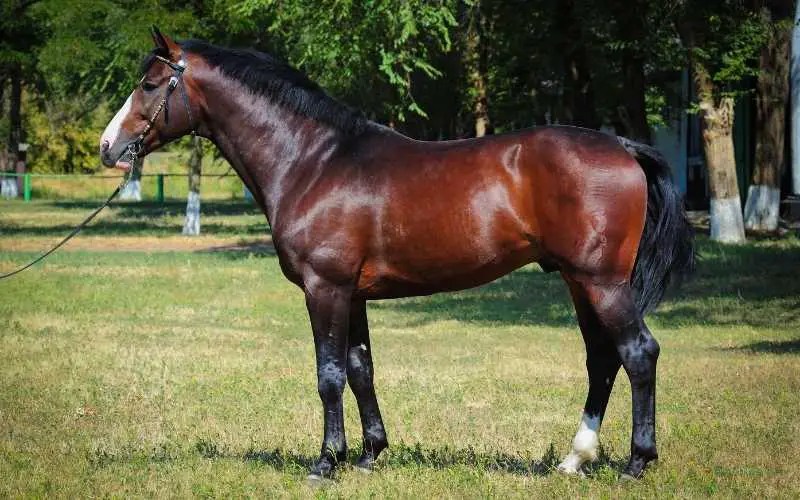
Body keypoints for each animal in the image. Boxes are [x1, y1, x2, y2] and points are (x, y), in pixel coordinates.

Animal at [99, 28, 694, 481]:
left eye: (149, 84)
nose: (109, 148)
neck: (314, 161)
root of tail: (622, 147)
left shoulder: (325, 289)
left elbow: (329, 374)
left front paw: (325, 463)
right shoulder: (352, 294)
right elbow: (360, 369)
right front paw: (368, 456)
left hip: (602, 282)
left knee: (638, 353)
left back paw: (636, 464)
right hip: (578, 281)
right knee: (602, 359)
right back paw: (574, 459)